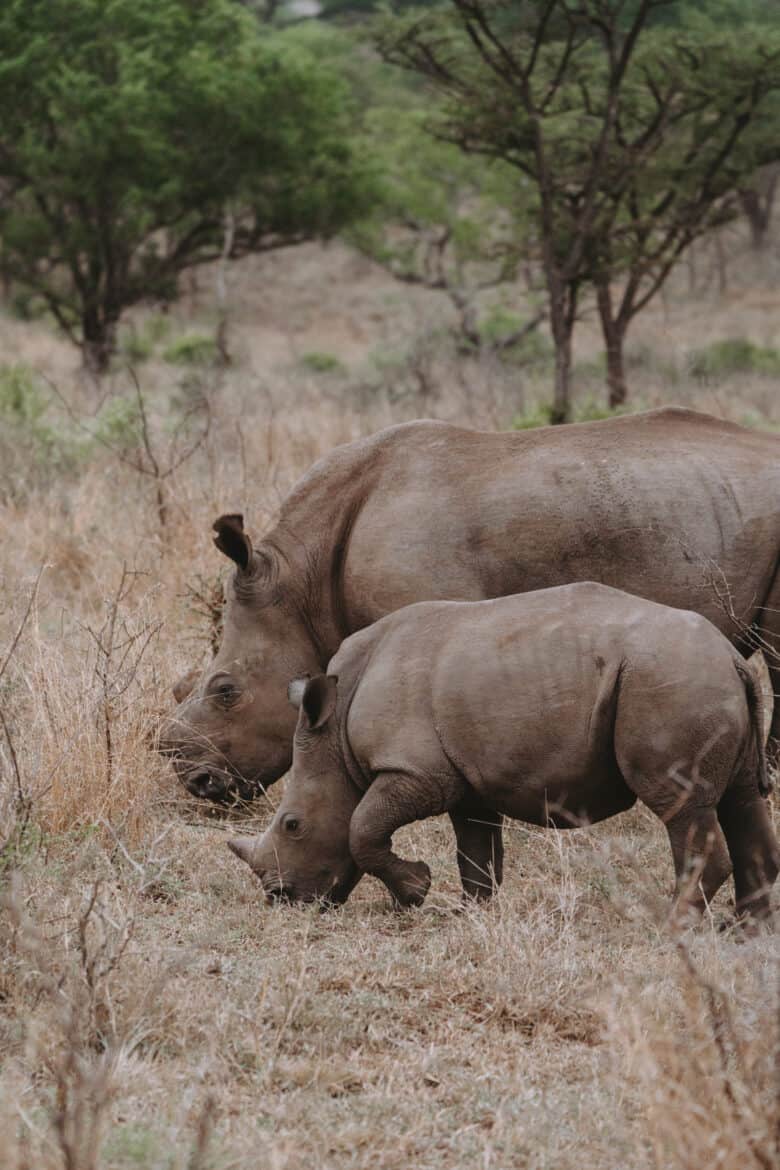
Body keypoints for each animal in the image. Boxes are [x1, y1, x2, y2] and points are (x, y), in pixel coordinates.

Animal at [229, 585, 776, 921]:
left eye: (293, 825)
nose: (281, 898)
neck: (335, 737)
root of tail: (731, 657)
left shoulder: (415, 772)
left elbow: (362, 828)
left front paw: (416, 892)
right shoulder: (464, 777)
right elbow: (476, 848)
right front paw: (469, 912)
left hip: (670, 681)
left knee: (682, 807)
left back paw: (672, 924)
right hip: (699, 679)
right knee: (742, 798)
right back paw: (744, 930)